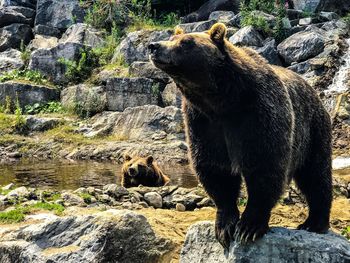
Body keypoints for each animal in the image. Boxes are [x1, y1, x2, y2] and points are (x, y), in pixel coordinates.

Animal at [149, 22, 332, 250]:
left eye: (186, 42)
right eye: (172, 37)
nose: (153, 46)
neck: (222, 100)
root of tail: (311, 87)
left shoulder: (258, 113)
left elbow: (264, 166)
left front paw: (249, 226)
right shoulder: (202, 121)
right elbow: (215, 170)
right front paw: (225, 226)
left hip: (313, 129)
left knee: (316, 174)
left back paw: (314, 223)